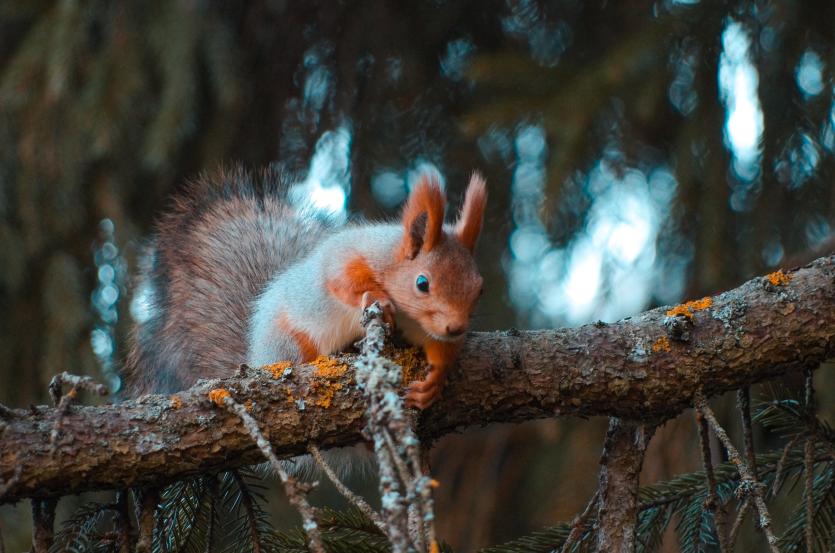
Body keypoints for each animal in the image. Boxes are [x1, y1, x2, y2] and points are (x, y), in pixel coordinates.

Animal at [121, 163, 486, 406]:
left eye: (479, 288)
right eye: (422, 283)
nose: (456, 327)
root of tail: (255, 357)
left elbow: (439, 348)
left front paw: (436, 377)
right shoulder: (348, 253)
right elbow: (340, 279)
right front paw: (376, 295)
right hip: (289, 344)